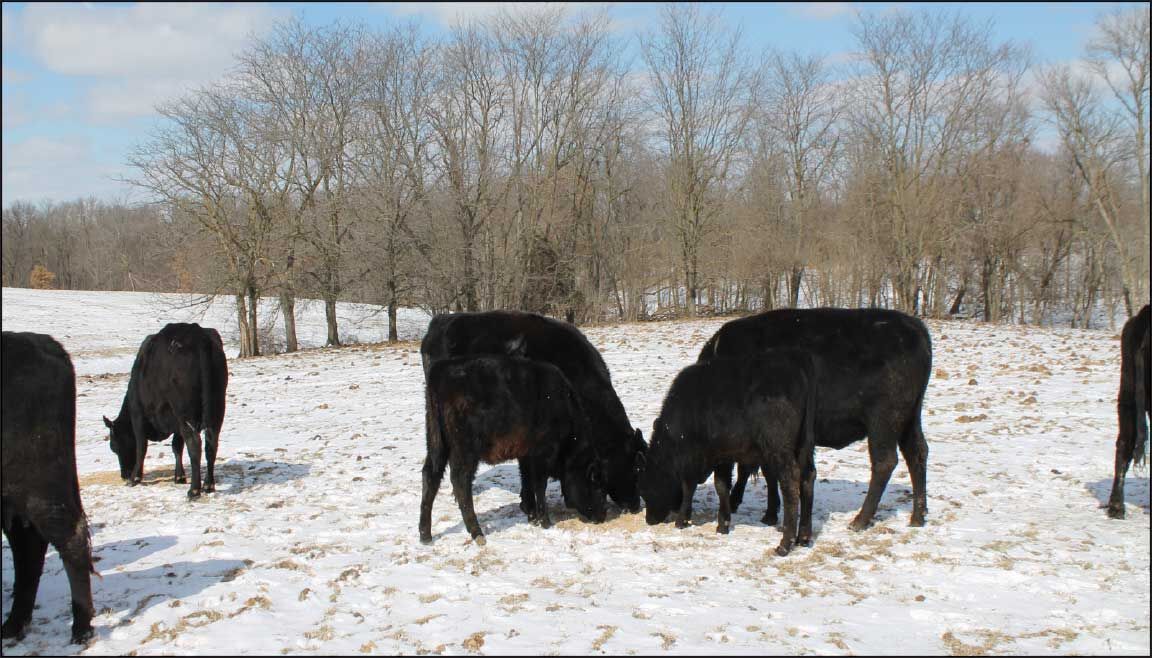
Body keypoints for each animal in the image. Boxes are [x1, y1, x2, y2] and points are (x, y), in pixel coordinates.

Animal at [103, 323, 228, 499]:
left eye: (114, 446)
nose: (124, 475)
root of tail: (197, 334)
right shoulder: (175, 421)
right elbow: (176, 446)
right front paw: (179, 476)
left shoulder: (138, 414)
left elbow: (142, 446)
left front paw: (135, 478)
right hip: (217, 407)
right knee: (211, 443)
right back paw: (208, 485)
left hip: (184, 411)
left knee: (194, 443)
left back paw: (194, 490)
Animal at [419, 356, 606, 545]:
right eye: (597, 486)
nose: (602, 516)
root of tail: (442, 369)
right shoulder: (543, 452)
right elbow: (540, 485)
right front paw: (545, 521)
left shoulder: (526, 454)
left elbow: (527, 480)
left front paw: (532, 516)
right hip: (465, 449)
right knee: (460, 481)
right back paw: (477, 532)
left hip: (436, 441)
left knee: (431, 475)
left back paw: (425, 534)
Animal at [638, 350, 819, 556]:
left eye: (644, 488)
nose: (649, 520)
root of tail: (796, 360)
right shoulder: (723, 455)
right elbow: (722, 485)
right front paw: (723, 524)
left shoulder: (698, 457)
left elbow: (691, 486)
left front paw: (682, 519)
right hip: (804, 446)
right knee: (808, 478)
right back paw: (803, 537)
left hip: (779, 449)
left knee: (790, 484)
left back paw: (785, 544)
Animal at [699, 307, 932, 531]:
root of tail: (915, 326)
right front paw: (768, 512)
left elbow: (752, 471)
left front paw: (759, 510)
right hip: (910, 420)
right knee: (917, 453)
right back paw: (918, 516)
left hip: (883, 423)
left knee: (885, 462)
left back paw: (859, 521)